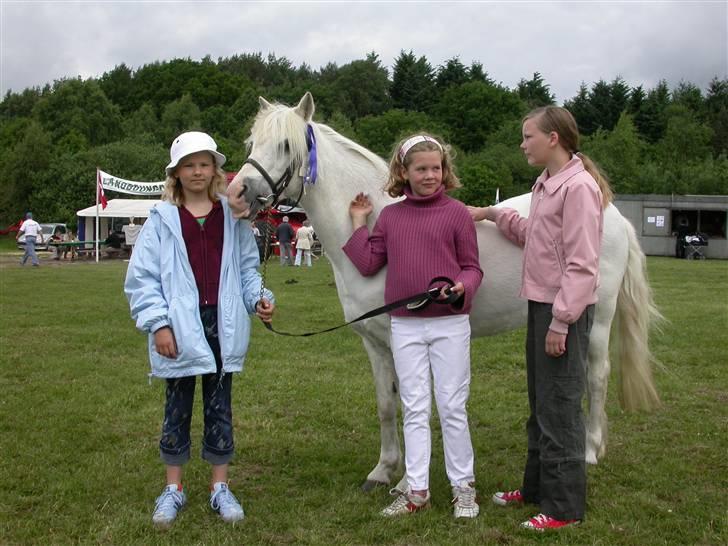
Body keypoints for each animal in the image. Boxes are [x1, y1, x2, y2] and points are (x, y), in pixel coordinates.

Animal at [230, 92, 664, 488]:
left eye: (286, 146)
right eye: (251, 143)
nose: (238, 193)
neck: (376, 231)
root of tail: (612, 213)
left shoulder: (401, 336)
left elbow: (413, 404)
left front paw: (407, 482)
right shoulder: (375, 342)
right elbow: (387, 405)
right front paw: (383, 470)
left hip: (597, 320)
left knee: (596, 376)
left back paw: (590, 450)